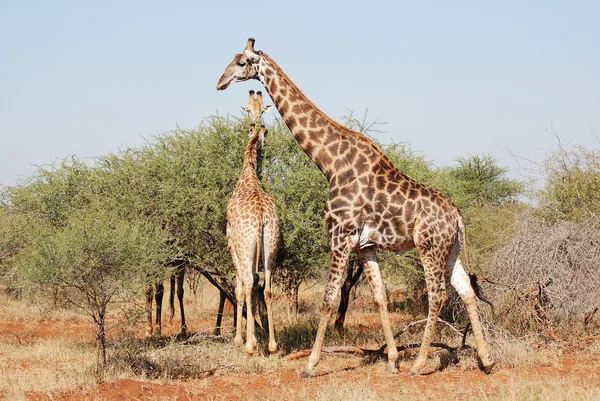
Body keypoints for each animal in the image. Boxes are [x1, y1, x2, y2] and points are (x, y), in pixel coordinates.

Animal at [216, 36, 492, 376]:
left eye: (241, 62)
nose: (220, 82)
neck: (330, 162)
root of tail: (457, 216)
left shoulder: (340, 234)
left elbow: (329, 298)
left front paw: (310, 364)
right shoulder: (365, 245)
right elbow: (380, 297)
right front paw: (392, 359)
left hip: (429, 246)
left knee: (438, 295)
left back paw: (420, 363)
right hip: (450, 248)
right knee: (466, 290)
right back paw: (486, 359)